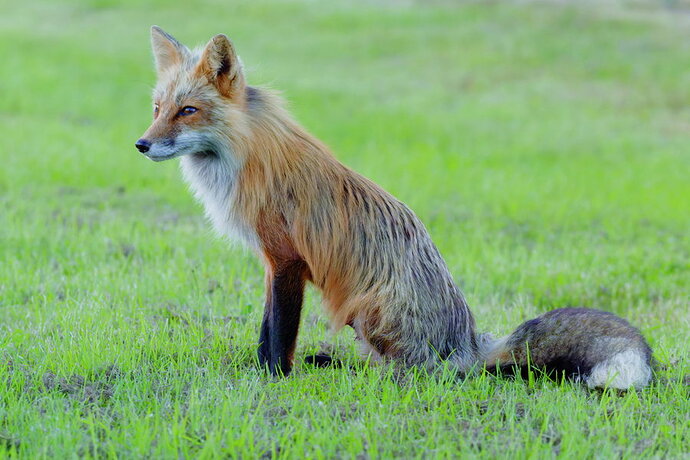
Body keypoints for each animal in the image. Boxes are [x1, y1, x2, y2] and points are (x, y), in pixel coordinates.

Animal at [135, 26, 653, 389]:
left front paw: (274, 379)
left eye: (187, 112)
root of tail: (468, 343)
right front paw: (261, 371)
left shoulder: (286, 260)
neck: (245, 160)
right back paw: (332, 362)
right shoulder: (271, 263)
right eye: (158, 108)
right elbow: (266, 330)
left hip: (369, 310)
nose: (141, 145)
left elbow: (279, 334)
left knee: (419, 373)